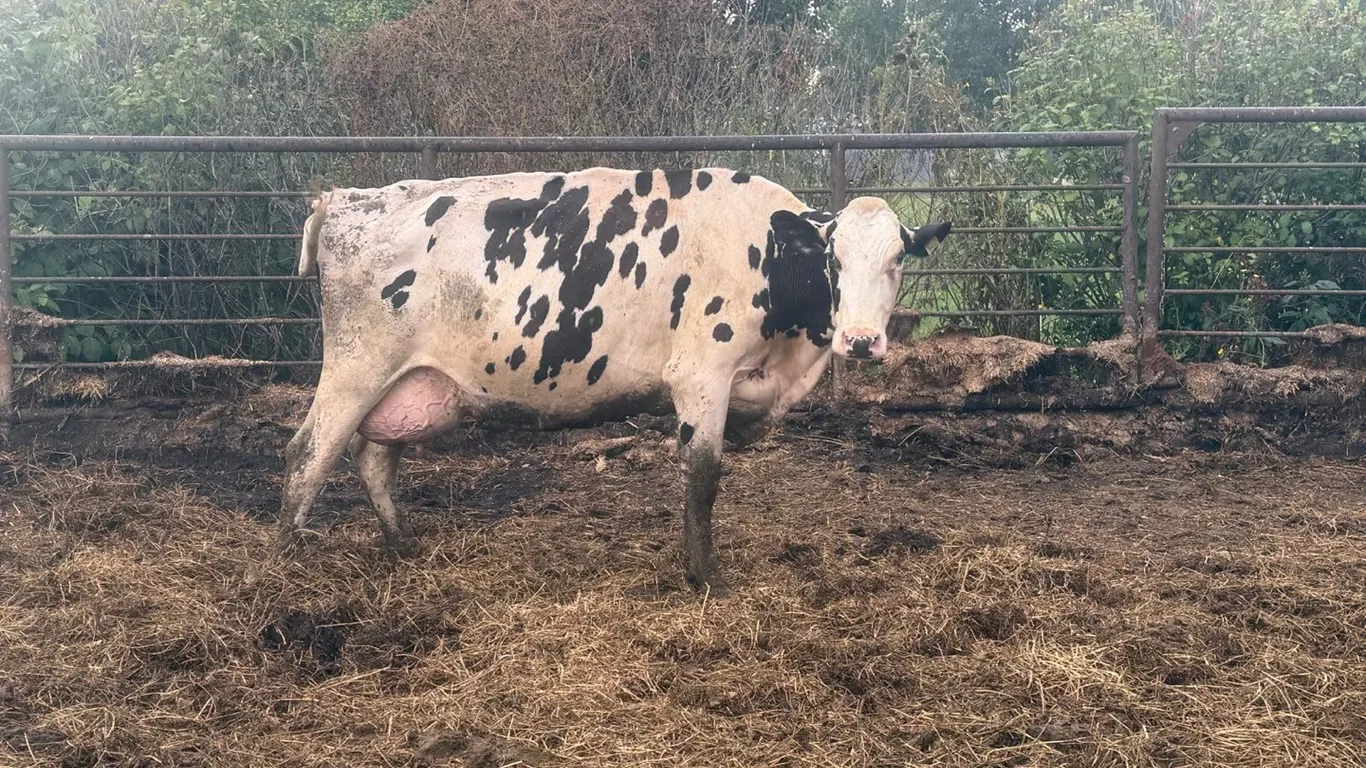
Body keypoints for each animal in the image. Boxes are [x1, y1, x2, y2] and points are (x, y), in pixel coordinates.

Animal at [281, 167, 950, 595]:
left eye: (898, 259)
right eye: (833, 259)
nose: (859, 340)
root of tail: (346, 200)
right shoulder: (701, 375)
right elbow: (703, 477)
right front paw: (706, 577)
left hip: (405, 384)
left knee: (372, 458)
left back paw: (402, 546)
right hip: (357, 367)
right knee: (307, 457)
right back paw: (280, 573)